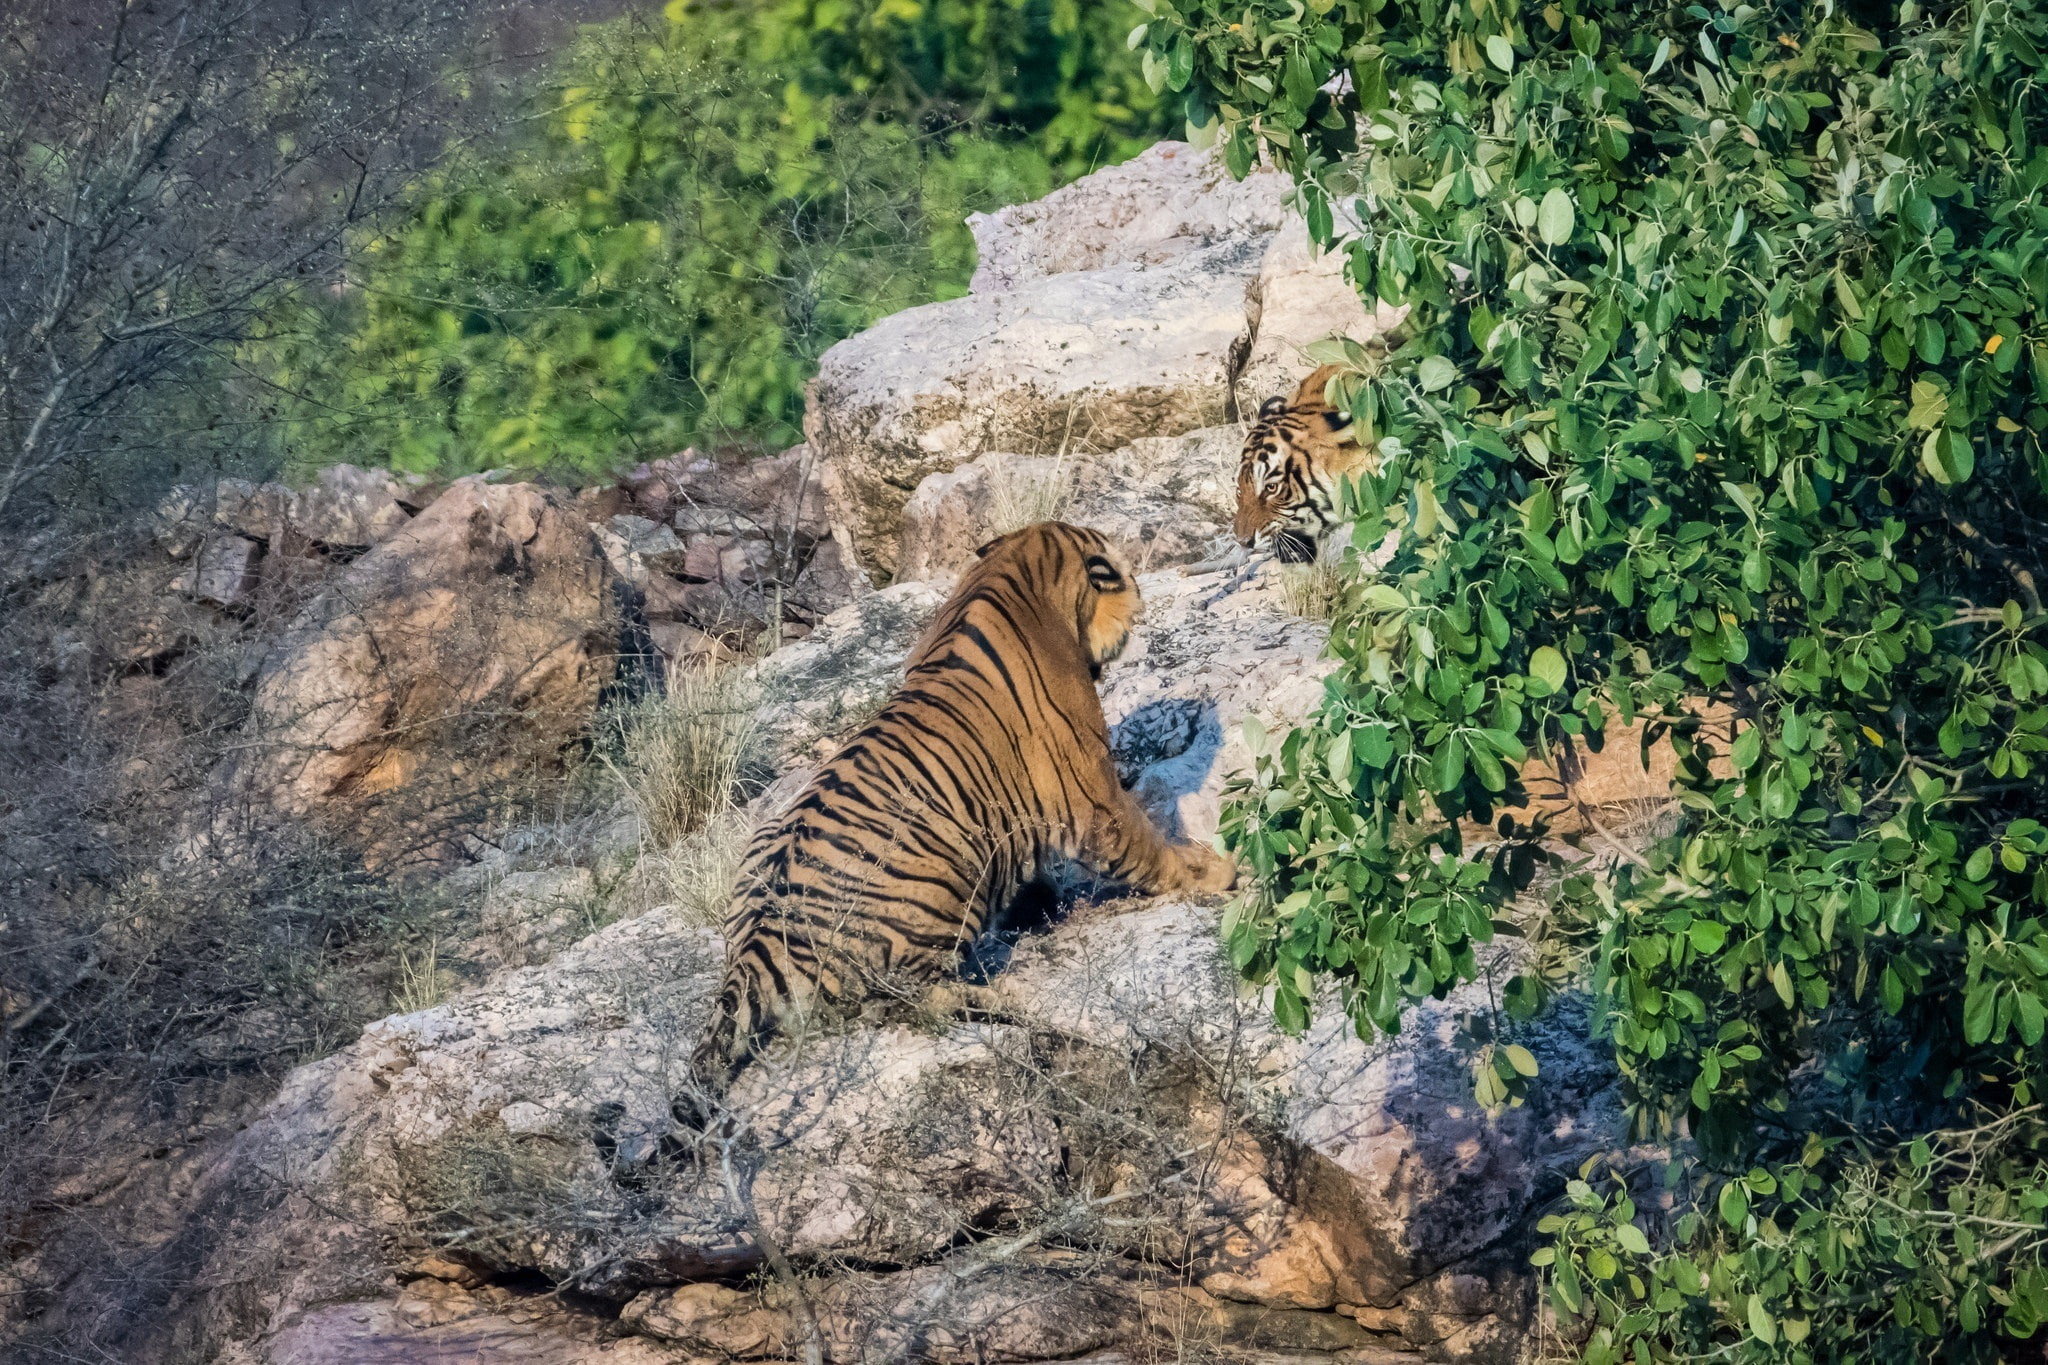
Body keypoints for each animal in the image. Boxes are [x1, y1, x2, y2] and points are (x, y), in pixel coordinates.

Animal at [681, 520, 1236, 1112]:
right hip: (949, 877)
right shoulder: (1093, 797)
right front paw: (1221, 872)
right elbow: (1151, 849)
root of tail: (755, 951)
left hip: (764, 843)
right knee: (913, 1001)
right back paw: (1006, 997)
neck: (1019, 568)